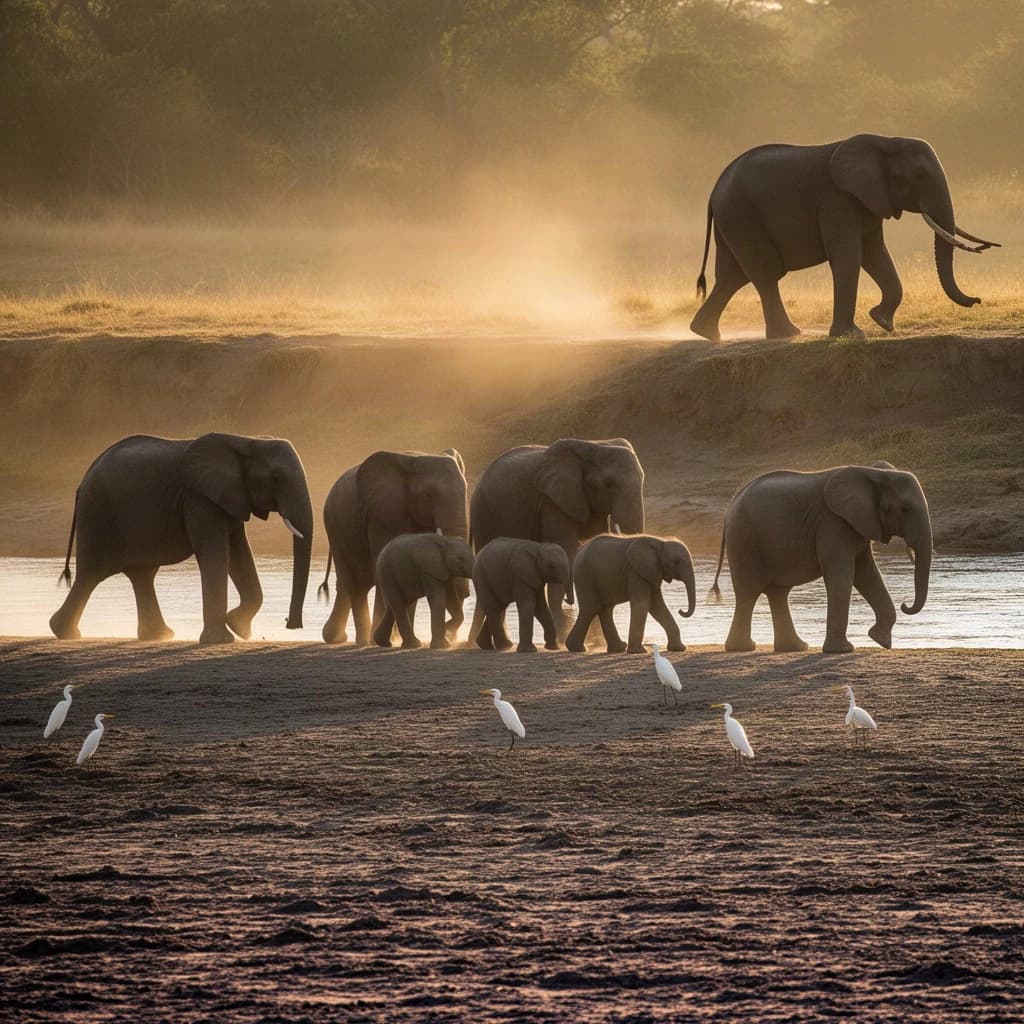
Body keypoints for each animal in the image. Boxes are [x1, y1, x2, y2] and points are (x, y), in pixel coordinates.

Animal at [49, 433, 313, 644]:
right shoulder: (199, 499)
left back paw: (159, 636)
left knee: (140, 575)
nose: (290, 623)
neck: (247, 440)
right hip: (99, 516)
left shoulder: (230, 498)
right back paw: (65, 633)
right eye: (276, 478)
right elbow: (216, 554)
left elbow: (240, 554)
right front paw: (222, 639)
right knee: (92, 574)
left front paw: (239, 628)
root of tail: (81, 483)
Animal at [319, 448, 468, 645]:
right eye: (428, 495)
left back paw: (337, 637)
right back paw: (363, 641)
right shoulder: (381, 516)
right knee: (355, 586)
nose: (450, 630)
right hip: (335, 528)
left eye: (466, 491)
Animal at [566, 534, 696, 654]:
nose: (681, 610)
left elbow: (657, 606)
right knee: (590, 609)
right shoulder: (635, 572)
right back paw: (577, 649)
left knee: (605, 609)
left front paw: (679, 648)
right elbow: (643, 604)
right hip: (584, 576)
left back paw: (617, 648)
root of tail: (579, 552)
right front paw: (638, 651)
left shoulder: (651, 572)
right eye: (676, 562)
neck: (661, 542)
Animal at [690, 134, 999, 342]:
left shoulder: (869, 201)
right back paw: (787, 334)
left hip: (733, 219)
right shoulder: (837, 200)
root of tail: (713, 191)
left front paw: (882, 322)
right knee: (764, 272)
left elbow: (876, 254)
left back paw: (706, 333)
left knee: (733, 276)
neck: (885, 141)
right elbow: (849, 256)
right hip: (741, 214)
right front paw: (852, 335)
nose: (977, 300)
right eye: (920, 176)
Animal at [709, 465, 932, 654]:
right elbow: (843, 575)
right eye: (905, 509)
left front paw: (881, 640)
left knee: (777, 593)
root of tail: (730, 506)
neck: (873, 472)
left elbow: (866, 573)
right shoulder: (832, 522)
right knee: (749, 592)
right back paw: (743, 648)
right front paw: (843, 650)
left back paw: (795, 648)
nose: (905, 605)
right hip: (744, 540)